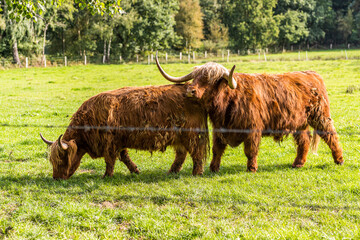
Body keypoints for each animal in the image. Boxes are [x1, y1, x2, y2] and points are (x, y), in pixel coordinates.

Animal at [40, 83, 208, 179]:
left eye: (62, 158)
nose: (56, 177)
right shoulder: (119, 141)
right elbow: (125, 157)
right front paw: (135, 171)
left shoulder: (110, 143)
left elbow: (110, 160)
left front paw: (107, 176)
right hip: (179, 137)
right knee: (181, 154)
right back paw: (171, 172)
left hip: (190, 134)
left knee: (196, 152)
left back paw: (197, 173)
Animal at [155, 56, 344, 172]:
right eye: (195, 77)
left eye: (211, 79)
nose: (190, 90)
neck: (228, 101)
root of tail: (312, 74)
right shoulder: (219, 129)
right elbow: (217, 149)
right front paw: (213, 168)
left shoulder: (252, 128)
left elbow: (250, 150)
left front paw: (251, 168)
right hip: (299, 122)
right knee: (303, 141)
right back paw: (298, 163)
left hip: (320, 116)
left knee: (330, 135)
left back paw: (339, 159)